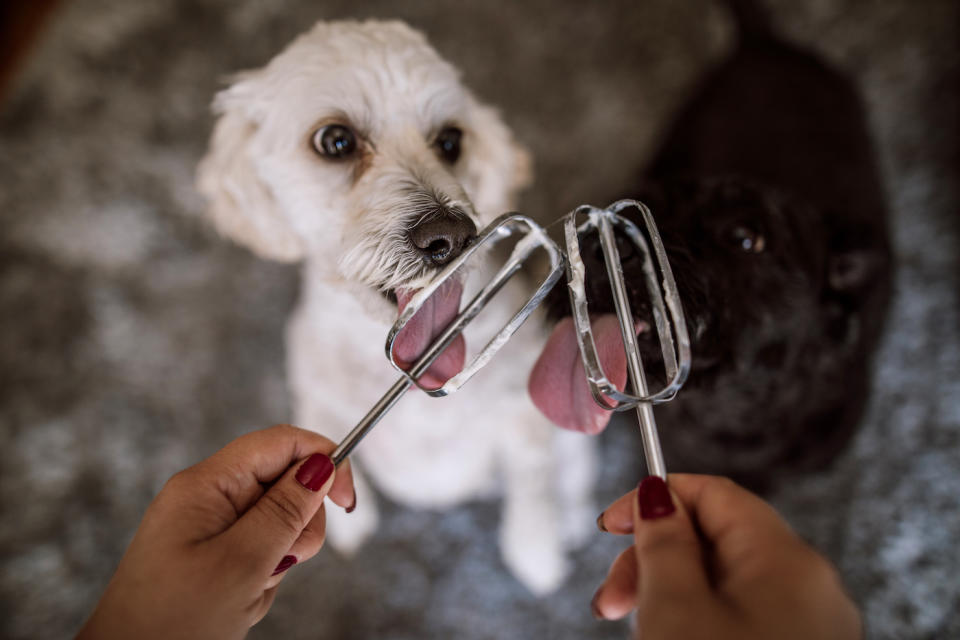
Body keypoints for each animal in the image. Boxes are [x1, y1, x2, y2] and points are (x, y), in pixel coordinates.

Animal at [197, 21, 592, 596]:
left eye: (450, 141)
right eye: (335, 141)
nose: (451, 235)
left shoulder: (523, 416)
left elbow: (534, 482)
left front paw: (536, 550)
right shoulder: (315, 397)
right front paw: (346, 520)